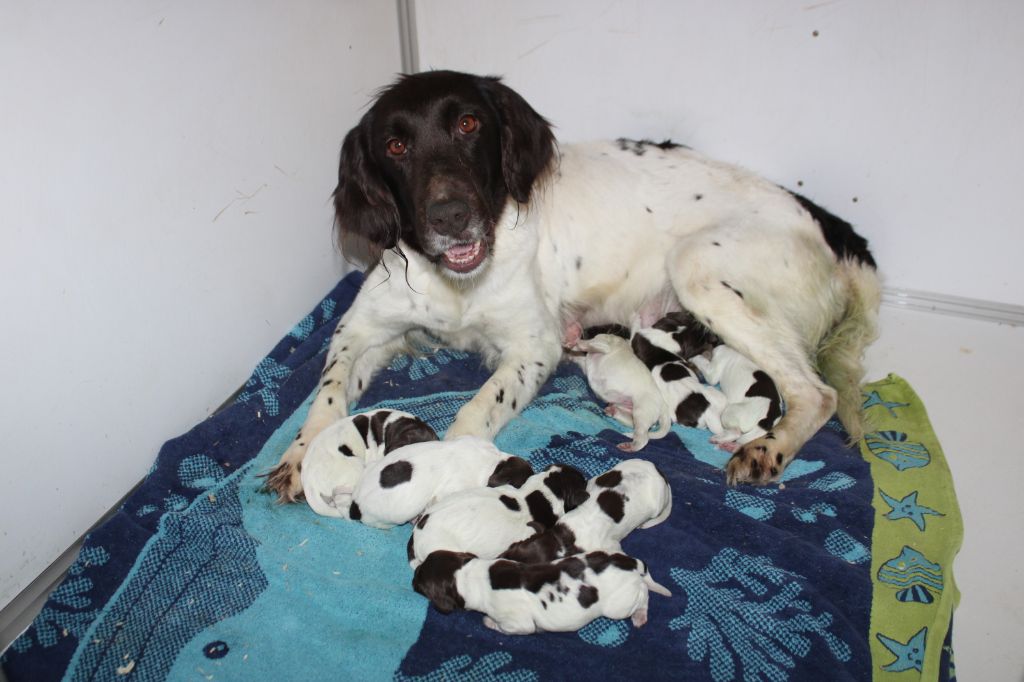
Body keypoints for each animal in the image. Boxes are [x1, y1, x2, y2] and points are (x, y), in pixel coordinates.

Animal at [411, 548, 675, 630]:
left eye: (420, 581)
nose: (411, 579)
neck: (470, 574)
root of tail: (630, 563)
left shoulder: (519, 624)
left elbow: (497, 624)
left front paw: (488, 622)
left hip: (619, 606)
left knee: (644, 595)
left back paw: (640, 617)